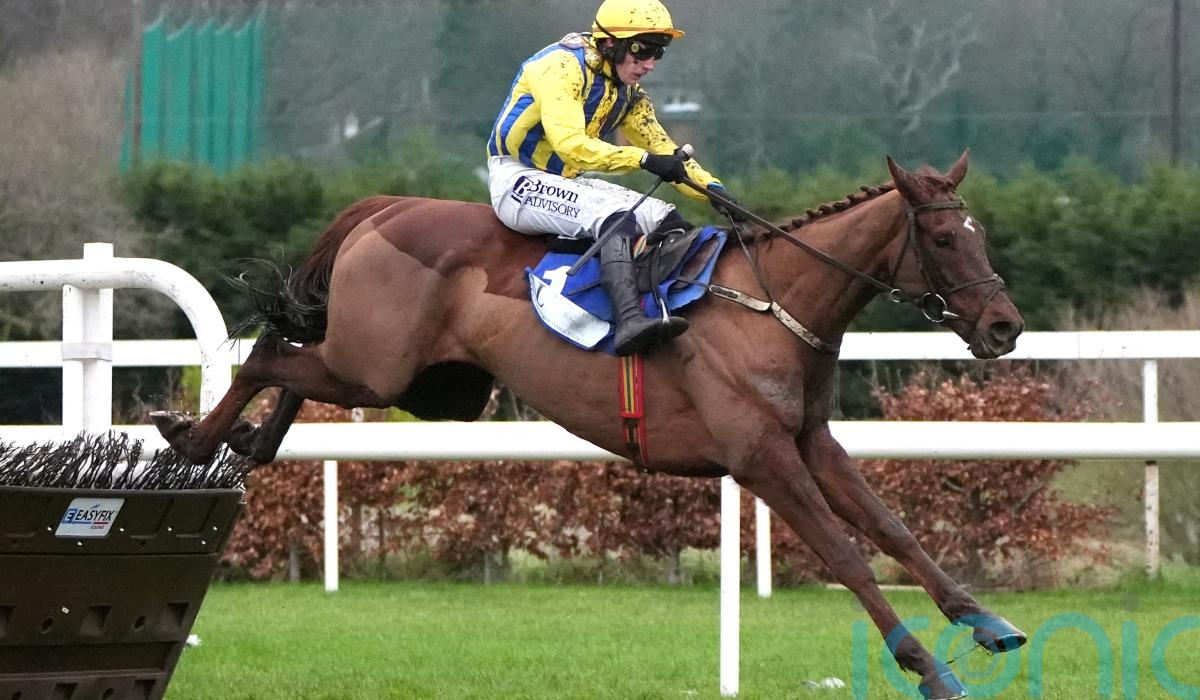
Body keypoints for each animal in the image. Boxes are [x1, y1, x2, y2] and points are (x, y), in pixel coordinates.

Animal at [152, 151, 1025, 699]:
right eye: (941, 237)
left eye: (981, 234)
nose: (1005, 326)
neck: (770, 303)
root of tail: (388, 204)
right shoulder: (761, 458)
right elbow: (848, 556)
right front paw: (927, 667)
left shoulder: (812, 442)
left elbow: (894, 529)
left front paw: (987, 622)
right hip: (383, 369)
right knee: (271, 354)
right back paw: (192, 436)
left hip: (422, 384)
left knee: (293, 352)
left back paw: (251, 440)